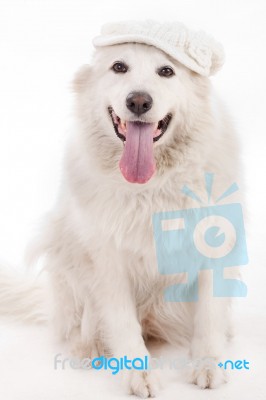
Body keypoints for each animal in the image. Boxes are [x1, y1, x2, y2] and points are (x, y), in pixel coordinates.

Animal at [1, 21, 245, 396]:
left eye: (167, 71)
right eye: (119, 67)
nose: (139, 101)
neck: (152, 185)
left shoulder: (214, 247)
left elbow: (208, 315)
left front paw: (208, 363)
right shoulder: (107, 262)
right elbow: (123, 324)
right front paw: (138, 373)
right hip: (65, 251)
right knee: (84, 322)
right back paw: (87, 349)